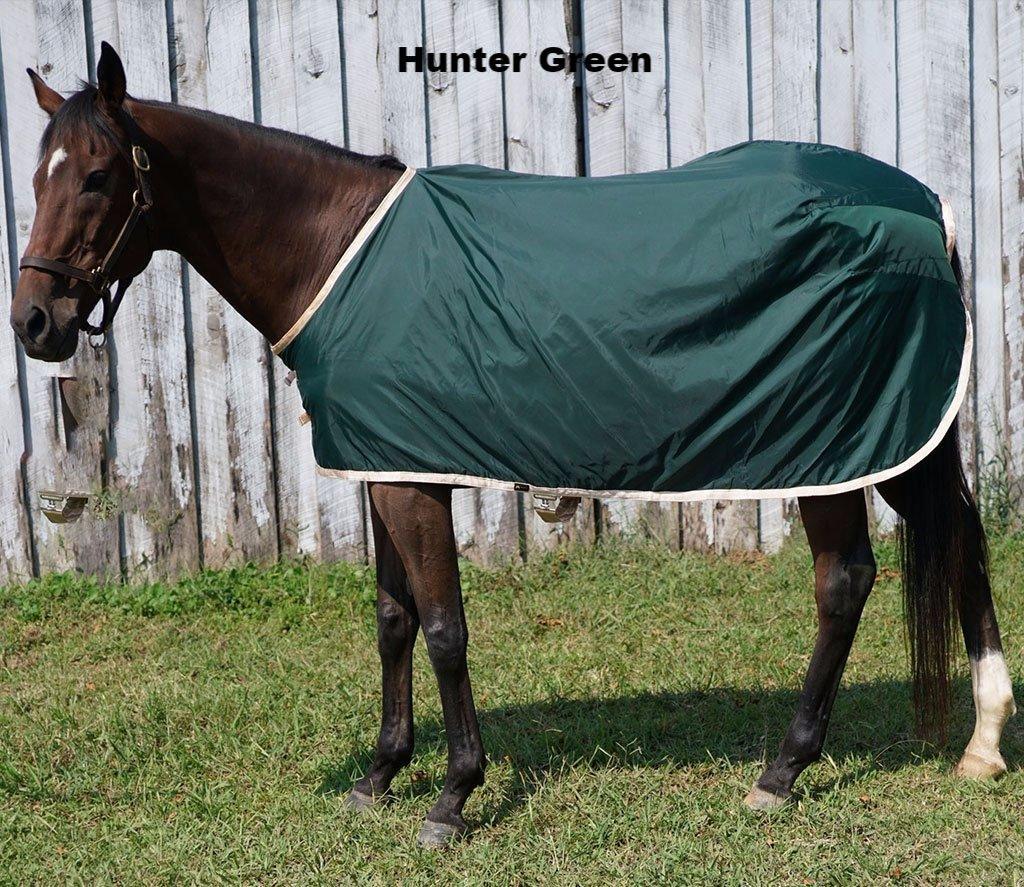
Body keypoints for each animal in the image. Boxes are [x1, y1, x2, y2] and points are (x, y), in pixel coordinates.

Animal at [10, 44, 1015, 847]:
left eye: (97, 177)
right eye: (37, 177)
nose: (35, 323)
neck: (337, 251)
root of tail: (927, 206)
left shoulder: (413, 482)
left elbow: (445, 628)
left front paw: (453, 796)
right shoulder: (386, 464)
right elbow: (393, 620)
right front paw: (379, 775)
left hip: (832, 445)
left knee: (843, 584)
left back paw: (783, 771)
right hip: (899, 436)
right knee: (961, 537)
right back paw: (982, 743)